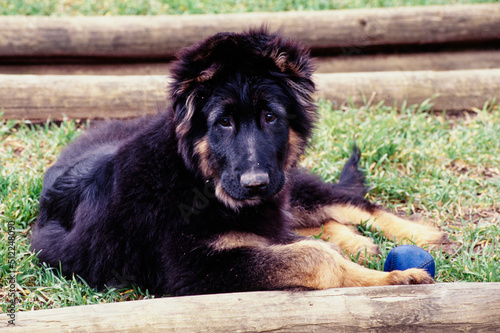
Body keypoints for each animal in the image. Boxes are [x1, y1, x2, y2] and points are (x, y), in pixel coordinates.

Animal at [33, 27, 452, 294]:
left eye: (270, 117)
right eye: (224, 122)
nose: (255, 185)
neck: (196, 180)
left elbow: (312, 245)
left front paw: (395, 272)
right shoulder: (191, 270)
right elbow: (314, 257)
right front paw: (392, 278)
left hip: (289, 184)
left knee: (348, 203)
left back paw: (423, 235)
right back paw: (356, 242)